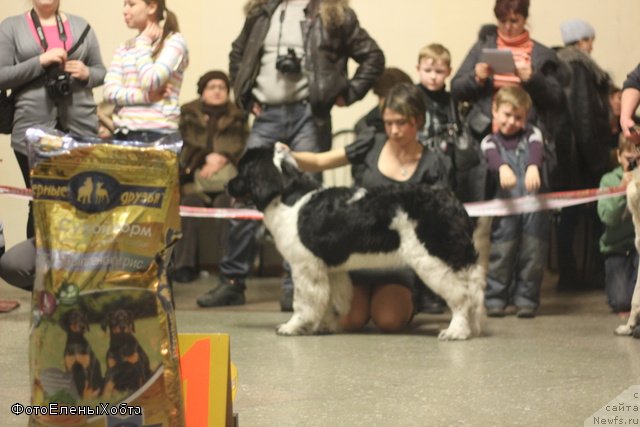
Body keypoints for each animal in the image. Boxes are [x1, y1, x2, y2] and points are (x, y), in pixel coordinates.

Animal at [230, 145, 484, 340]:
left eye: (242, 171)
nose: (227, 186)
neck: (287, 197)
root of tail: (451, 199)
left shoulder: (305, 266)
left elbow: (304, 302)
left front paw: (293, 327)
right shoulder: (327, 269)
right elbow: (327, 300)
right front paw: (323, 326)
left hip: (434, 259)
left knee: (461, 296)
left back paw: (456, 331)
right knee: (473, 290)